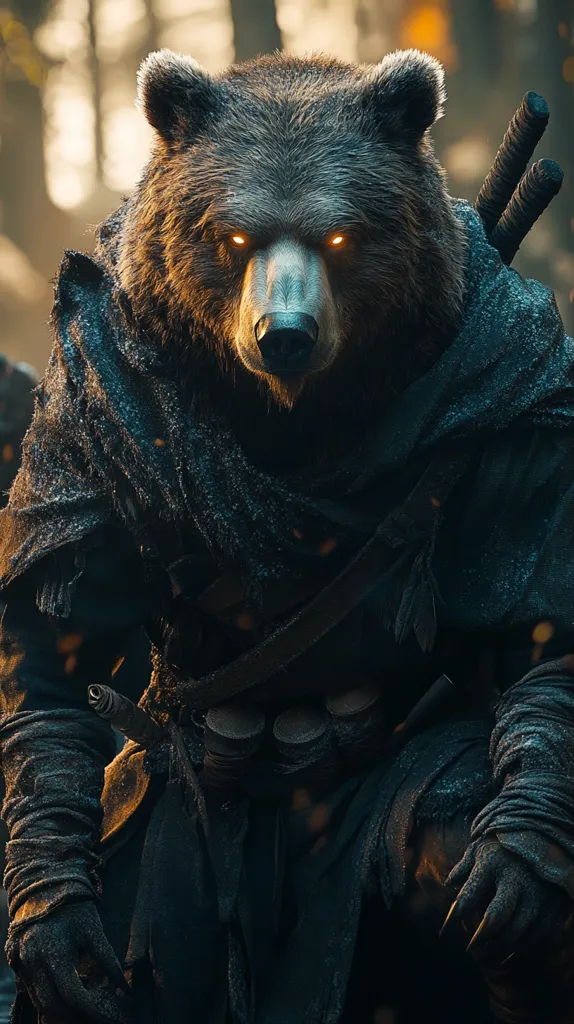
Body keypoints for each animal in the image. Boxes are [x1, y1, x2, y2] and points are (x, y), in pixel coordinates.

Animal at [2, 45, 574, 1024]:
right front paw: (54, 927)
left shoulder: (514, 400)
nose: (285, 337)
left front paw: (518, 865)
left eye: (341, 239)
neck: (294, 422)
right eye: (232, 239)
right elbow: (56, 632)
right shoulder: (92, 406)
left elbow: (541, 622)